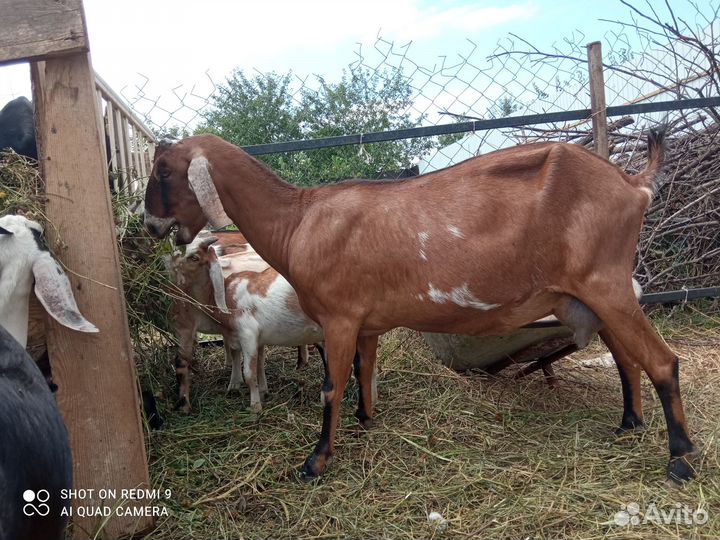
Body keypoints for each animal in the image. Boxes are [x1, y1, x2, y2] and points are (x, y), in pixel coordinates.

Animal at [168, 231, 325, 412]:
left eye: (194, 257)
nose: (166, 262)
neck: (225, 295)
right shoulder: (247, 338)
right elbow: (255, 363)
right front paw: (258, 392)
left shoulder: (247, 333)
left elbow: (249, 373)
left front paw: (255, 407)